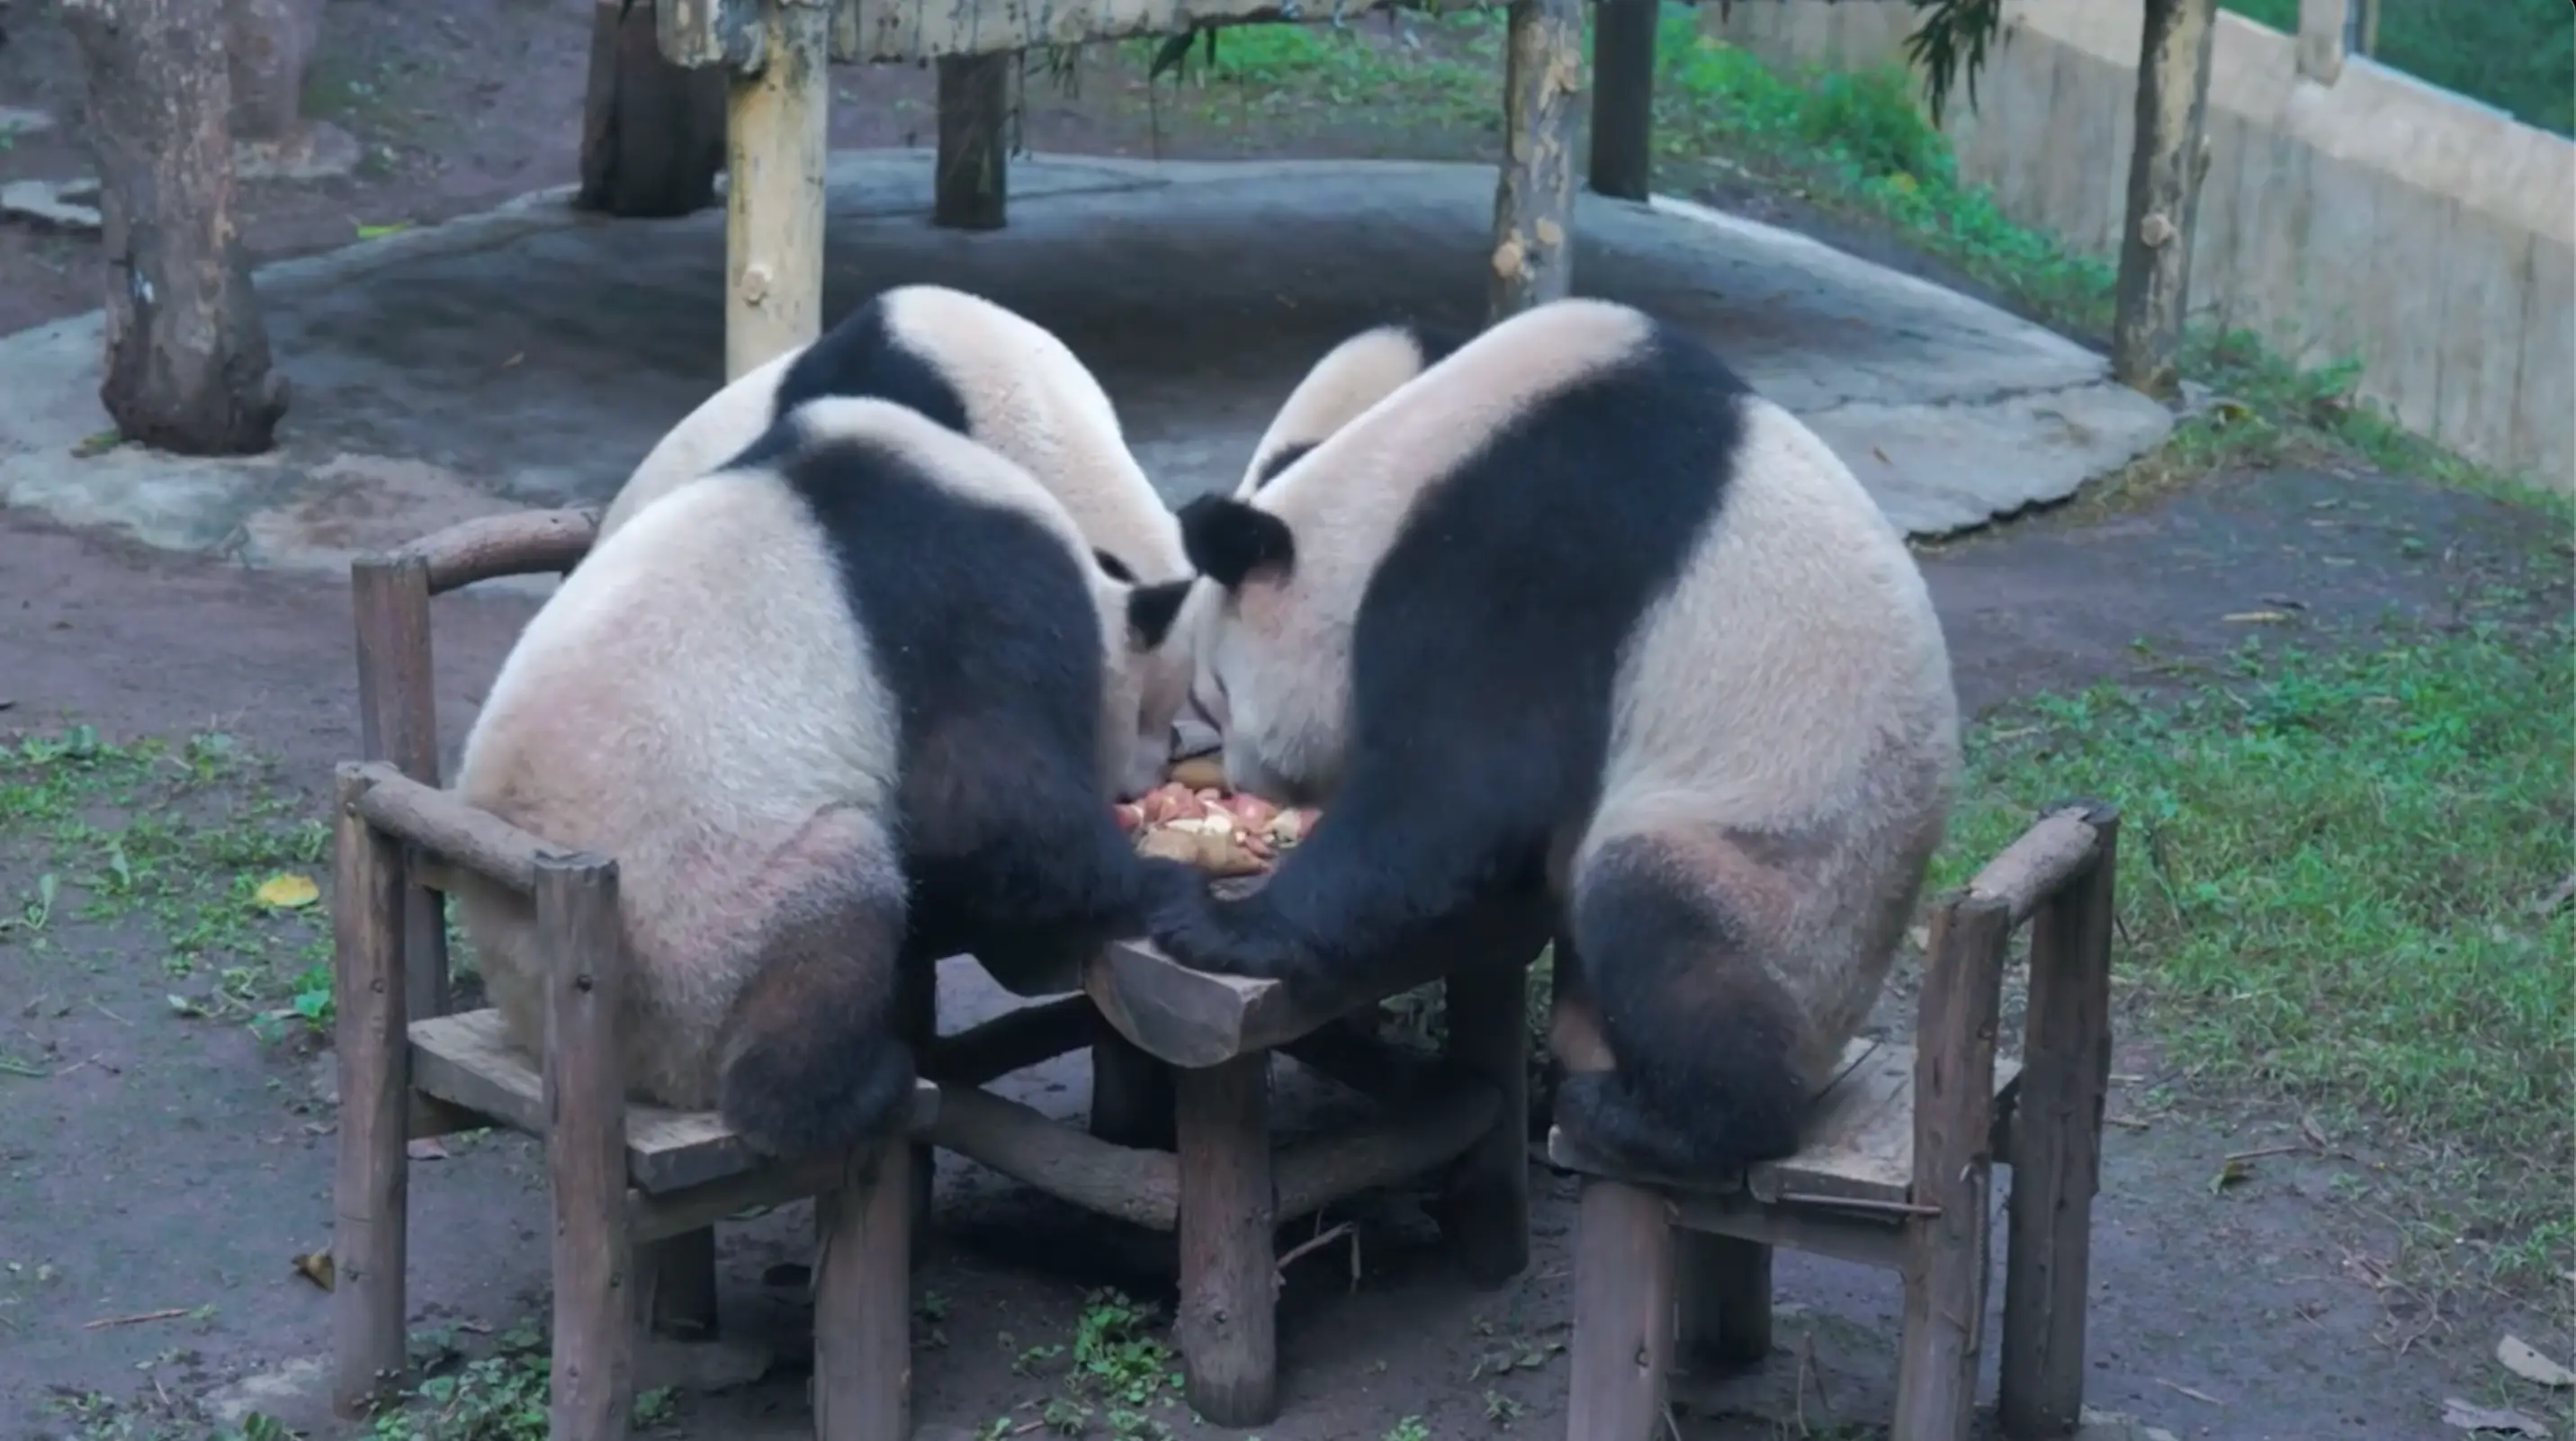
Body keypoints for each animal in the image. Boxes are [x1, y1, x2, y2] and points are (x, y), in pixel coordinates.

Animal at [451, 395, 1196, 1158]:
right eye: (1154, 716)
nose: (1143, 783)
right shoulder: (969, 598)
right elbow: (990, 812)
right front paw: (1162, 888)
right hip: (698, 940)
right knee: (833, 896)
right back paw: (851, 1091)